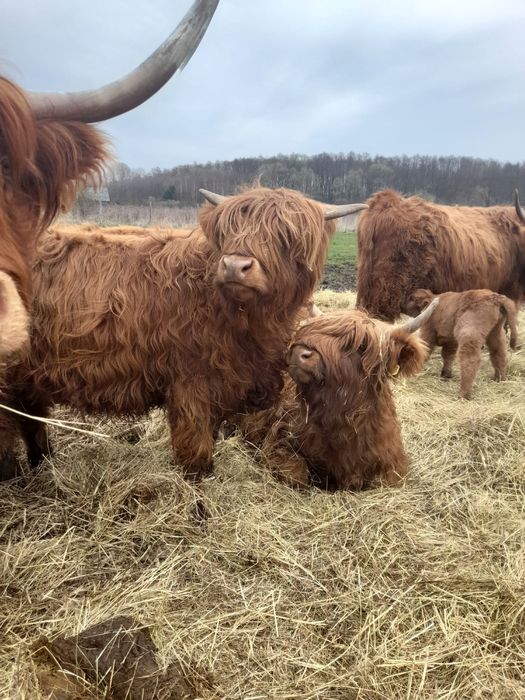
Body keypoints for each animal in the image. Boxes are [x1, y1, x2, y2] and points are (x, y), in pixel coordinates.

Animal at [0, 186, 366, 482]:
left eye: (285, 236)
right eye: (229, 231)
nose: (234, 266)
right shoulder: (191, 384)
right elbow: (196, 452)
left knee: (31, 421)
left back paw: (42, 467)